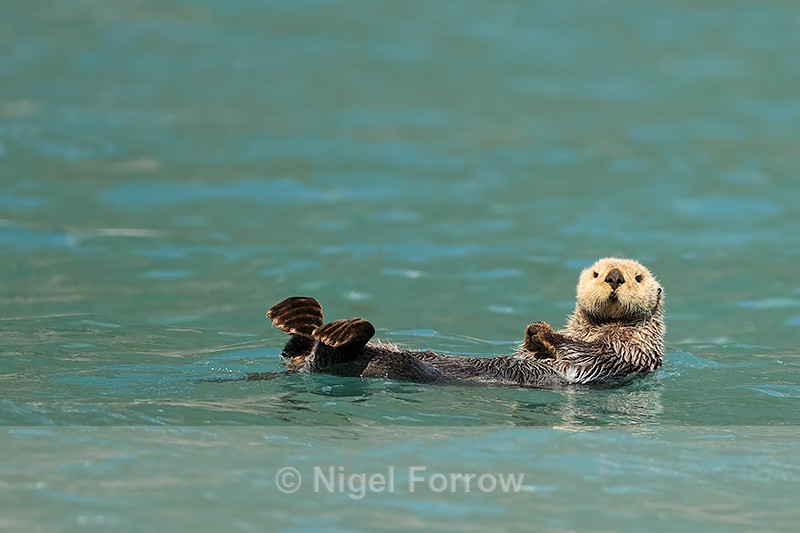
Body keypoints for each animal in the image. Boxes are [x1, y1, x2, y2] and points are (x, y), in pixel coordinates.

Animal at [261, 258, 665, 388]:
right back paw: (299, 315)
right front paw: (534, 333)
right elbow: (530, 350)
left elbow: (587, 355)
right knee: (300, 348)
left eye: (638, 277)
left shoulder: (627, 356)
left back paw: (337, 330)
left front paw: (544, 332)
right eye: (596, 272)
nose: (614, 276)